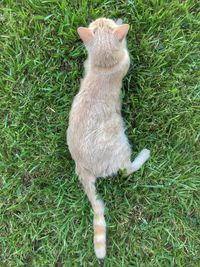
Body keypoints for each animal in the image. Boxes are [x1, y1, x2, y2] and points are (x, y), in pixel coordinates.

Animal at [67, 17, 150, 260]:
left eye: (100, 24)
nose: (100, 18)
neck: (102, 67)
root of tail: (81, 167)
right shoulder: (126, 61)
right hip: (121, 144)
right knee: (126, 170)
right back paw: (144, 155)